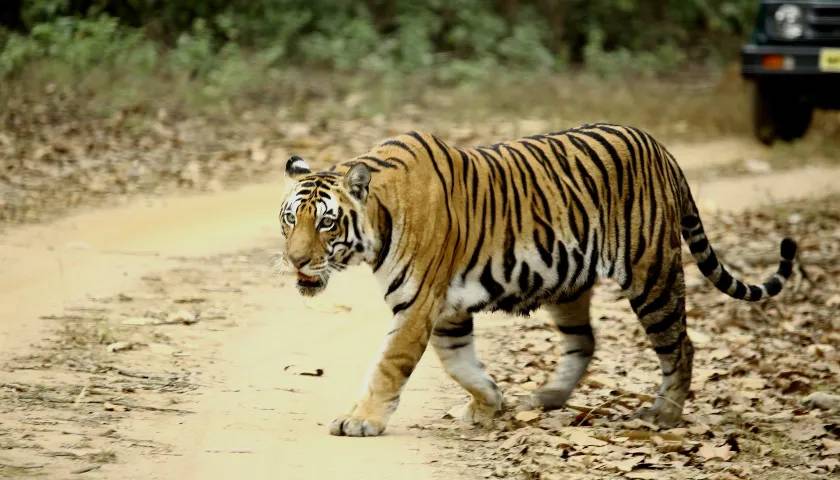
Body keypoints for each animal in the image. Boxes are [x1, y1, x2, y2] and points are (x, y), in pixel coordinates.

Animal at [278, 123, 796, 436]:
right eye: (289, 219)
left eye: (326, 224)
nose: (295, 260)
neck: (379, 222)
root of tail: (660, 147)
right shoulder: (446, 310)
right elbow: (460, 363)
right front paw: (490, 404)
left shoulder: (418, 305)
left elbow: (389, 365)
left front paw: (361, 421)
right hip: (569, 282)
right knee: (584, 341)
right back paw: (546, 397)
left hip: (652, 275)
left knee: (681, 345)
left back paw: (664, 414)